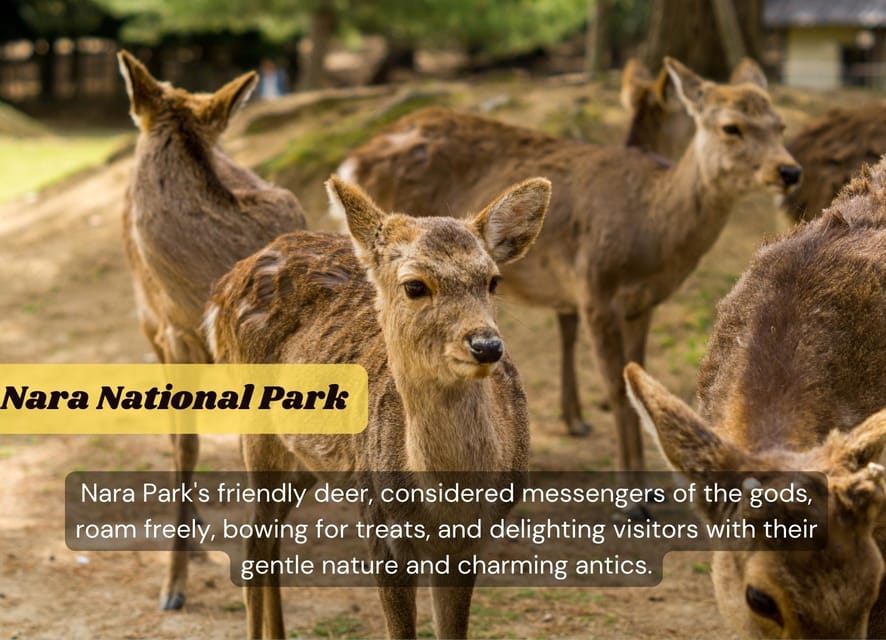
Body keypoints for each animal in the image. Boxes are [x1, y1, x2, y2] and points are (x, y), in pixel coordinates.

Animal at [204, 175, 549, 639]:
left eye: (492, 281)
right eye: (414, 285)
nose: (487, 345)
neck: (444, 499)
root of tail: (223, 286)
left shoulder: (473, 537)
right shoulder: (381, 523)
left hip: (307, 459)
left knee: (272, 539)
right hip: (255, 428)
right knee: (254, 542)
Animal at [335, 57, 801, 472]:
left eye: (781, 124)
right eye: (731, 127)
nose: (790, 170)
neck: (653, 233)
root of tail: (352, 160)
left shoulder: (643, 303)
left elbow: (635, 374)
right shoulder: (595, 287)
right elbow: (614, 387)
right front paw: (633, 495)